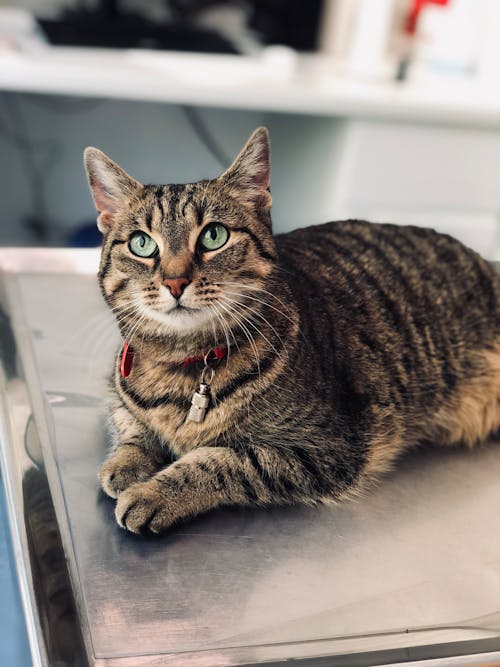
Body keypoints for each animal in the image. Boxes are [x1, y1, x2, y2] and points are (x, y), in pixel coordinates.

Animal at [84, 128, 500, 536]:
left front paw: (154, 493)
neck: (183, 366)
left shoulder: (325, 449)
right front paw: (125, 464)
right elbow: (129, 424)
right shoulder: (117, 390)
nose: (175, 281)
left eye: (213, 236)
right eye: (141, 243)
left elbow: (220, 460)